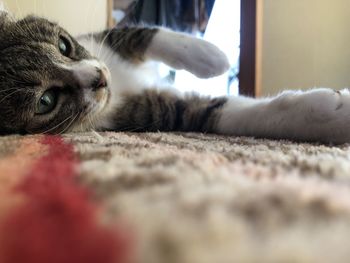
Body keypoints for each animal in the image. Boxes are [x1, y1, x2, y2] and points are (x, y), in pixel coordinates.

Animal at [0, 8, 350, 144]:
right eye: (46, 101)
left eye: (63, 44)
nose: (100, 77)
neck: (117, 90)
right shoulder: (155, 112)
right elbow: (216, 111)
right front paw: (334, 112)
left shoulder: (103, 44)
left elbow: (144, 33)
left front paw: (211, 56)